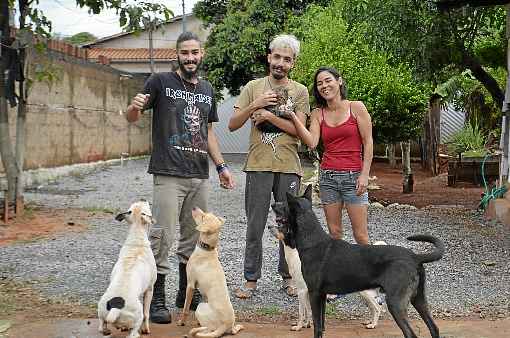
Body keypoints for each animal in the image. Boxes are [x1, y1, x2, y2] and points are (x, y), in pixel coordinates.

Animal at [97, 201, 156, 338]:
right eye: (145, 206)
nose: (143, 198)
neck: (137, 236)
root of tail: (116, 307)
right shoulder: (150, 289)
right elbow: (147, 314)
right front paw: (146, 329)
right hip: (137, 315)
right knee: (134, 330)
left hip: (101, 311)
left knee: (102, 326)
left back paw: (107, 329)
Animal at [178, 207, 244, 336]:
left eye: (203, 217)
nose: (194, 207)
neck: (207, 250)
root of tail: (225, 325)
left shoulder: (191, 285)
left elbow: (185, 308)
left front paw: (181, 322)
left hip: (200, 306)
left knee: (208, 330)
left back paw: (195, 330)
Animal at [272, 185, 444, 338]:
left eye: (284, 204)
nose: (273, 204)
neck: (312, 240)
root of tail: (415, 257)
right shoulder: (322, 295)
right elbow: (322, 325)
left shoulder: (313, 293)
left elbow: (316, 326)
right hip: (419, 299)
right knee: (434, 328)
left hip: (395, 302)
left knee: (411, 333)